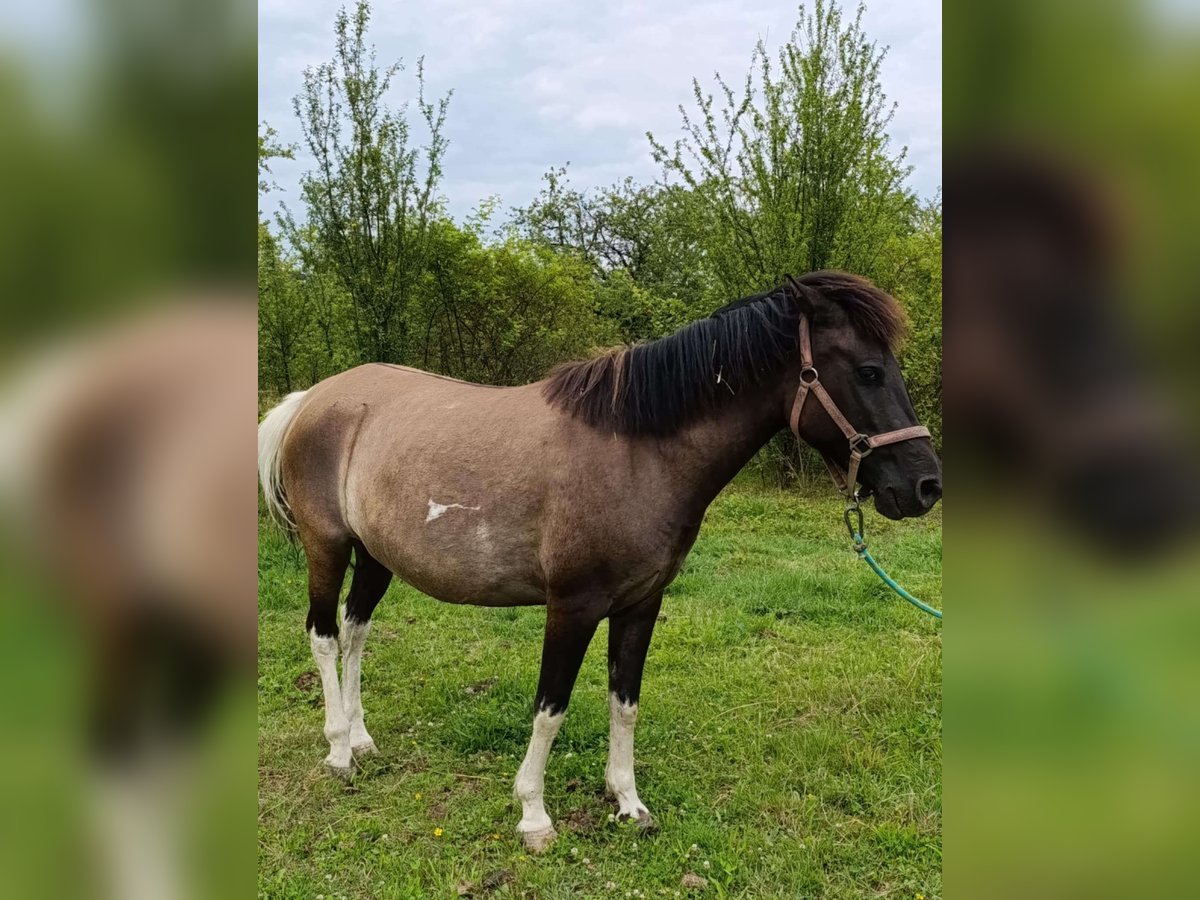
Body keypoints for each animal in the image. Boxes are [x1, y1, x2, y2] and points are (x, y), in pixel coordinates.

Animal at [258, 270, 940, 854]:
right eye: (869, 371)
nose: (926, 485)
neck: (637, 452)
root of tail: (314, 399)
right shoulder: (573, 605)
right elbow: (550, 707)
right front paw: (533, 815)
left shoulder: (640, 604)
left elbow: (625, 702)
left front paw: (628, 803)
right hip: (328, 547)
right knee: (323, 635)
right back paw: (339, 752)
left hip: (376, 557)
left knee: (355, 633)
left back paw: (362, 737)